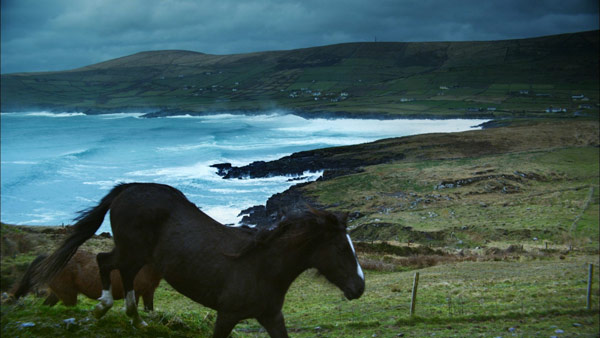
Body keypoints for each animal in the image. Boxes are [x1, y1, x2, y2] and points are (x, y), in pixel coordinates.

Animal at [10, 250, 161, 310]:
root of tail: (49, 257)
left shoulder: (149, 292)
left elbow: (149, 309)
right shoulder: (135, 291)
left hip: (58, 292)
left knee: (46, 305)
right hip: (68, 294)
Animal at [34, 184, 366, 336]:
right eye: (341, 248)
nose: (360, 288)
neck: (262, 267)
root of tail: (128, 188)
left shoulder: (272, 317)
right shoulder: (227, 315)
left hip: (137, 254)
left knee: (122, 272)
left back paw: (136, 319)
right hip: (132, 249)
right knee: (105, 261)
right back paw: (102, 309)